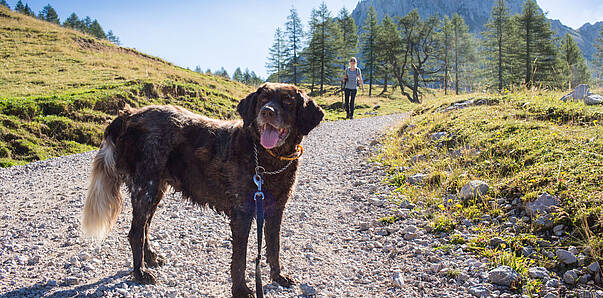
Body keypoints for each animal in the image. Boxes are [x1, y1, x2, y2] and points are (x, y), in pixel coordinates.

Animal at [82, 82, 326, 296]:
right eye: (263, 100)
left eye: (287, 101)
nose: (267, 112)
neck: (266, 158)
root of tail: (128, 114)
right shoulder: (243, 213)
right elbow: (240, 258)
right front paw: (241, 290)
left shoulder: (276, 209)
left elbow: (274, 247)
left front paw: (278, 277)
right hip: (145, 188)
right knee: (135, 232)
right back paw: (140, 272)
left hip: (155, 189)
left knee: (144, 228)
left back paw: (150, 258)